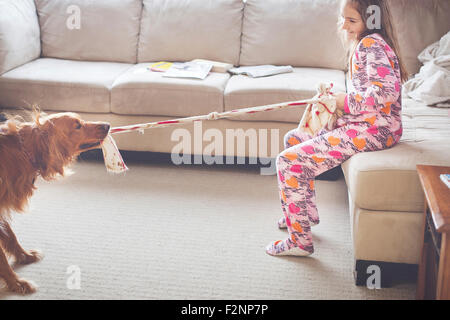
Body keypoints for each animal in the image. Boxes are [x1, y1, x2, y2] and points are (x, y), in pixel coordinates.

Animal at [0, 111, 110, 294]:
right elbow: (2, 257)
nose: (108, 125)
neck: (23, 150)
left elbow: (11, 236)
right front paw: (18, 283)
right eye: (77, 125)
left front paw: (24, 256)